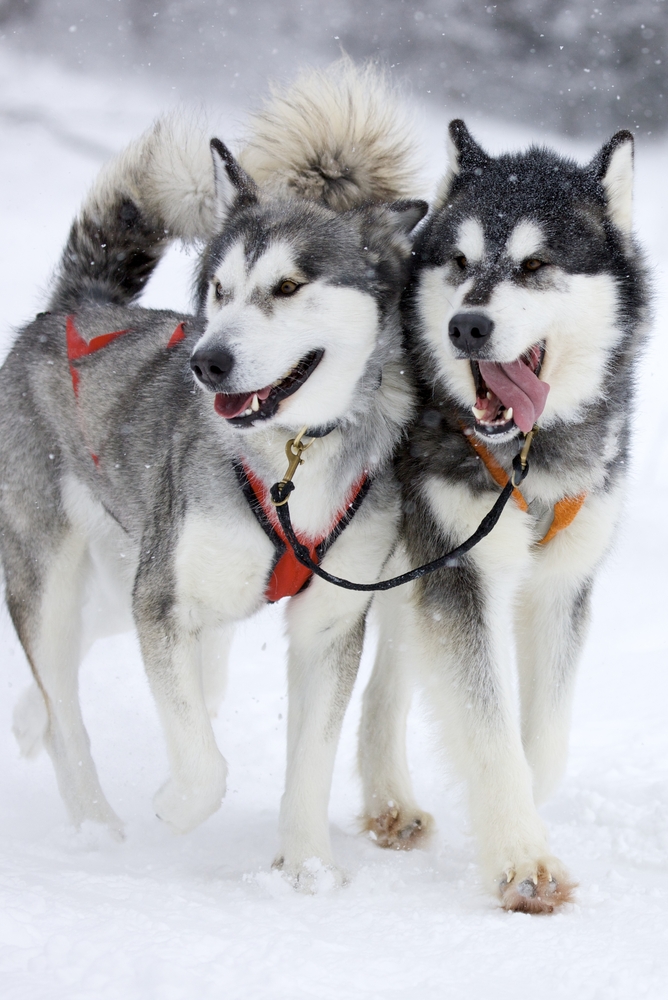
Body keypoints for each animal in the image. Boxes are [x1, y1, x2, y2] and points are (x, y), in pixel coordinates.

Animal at [3, 64, 428, 884]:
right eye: (223, 289)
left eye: (289, 287)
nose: (208, 362)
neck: (290, 460)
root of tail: (76, 305)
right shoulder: (164, 602)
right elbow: (202, 762)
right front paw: (177, 804)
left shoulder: (329, 623)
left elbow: (311, 761)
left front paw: (307, 870)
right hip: (60, 575)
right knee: (67, 704)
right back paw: (96, 822)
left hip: (123, 576)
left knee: (73, 672)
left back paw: (31, 720)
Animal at [358, 121, 648, 912]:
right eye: (459, 261)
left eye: (536, 264)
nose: (468, 326)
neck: (526, 458)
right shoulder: (460, 571)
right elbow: (488, 731)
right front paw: (522, 861)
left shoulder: (561, 588)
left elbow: (539, 742)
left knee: (385, 685)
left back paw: (388, 801)